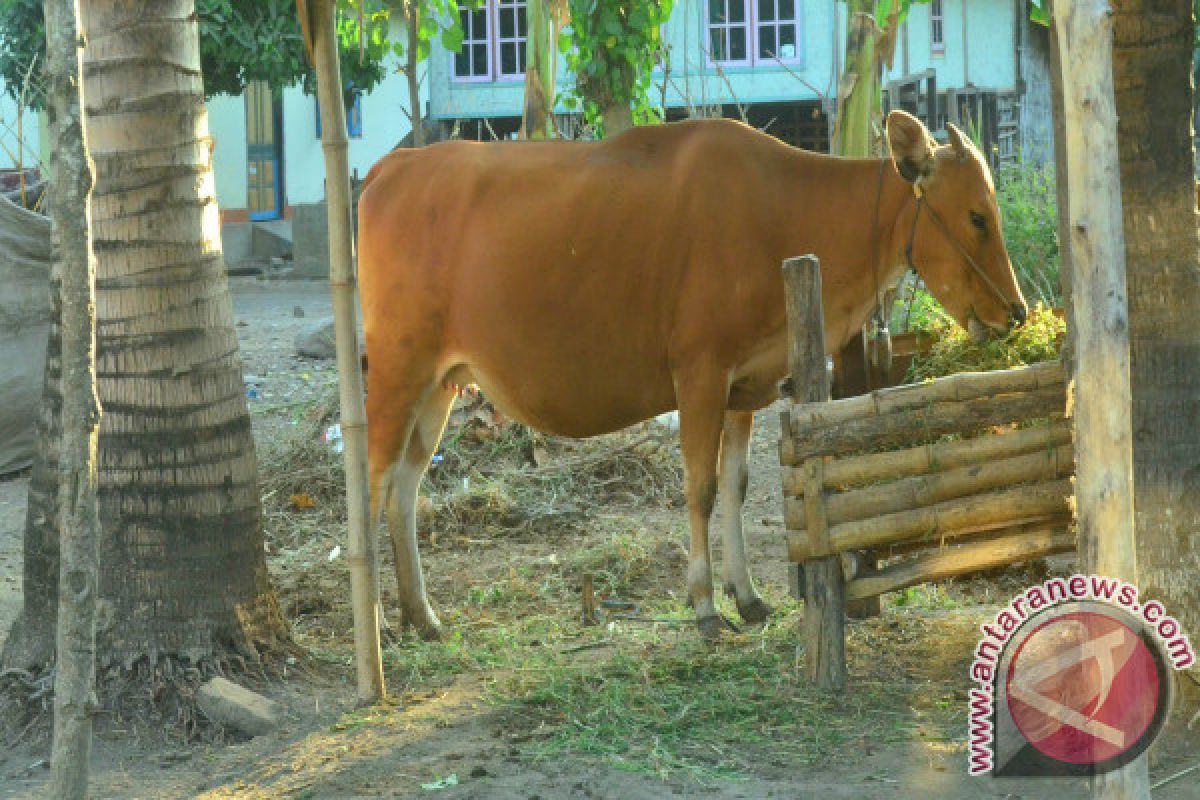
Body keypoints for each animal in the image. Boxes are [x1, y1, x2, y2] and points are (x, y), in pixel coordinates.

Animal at [360, 110, 1027, 638]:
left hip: (441, 383)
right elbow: (700, 488)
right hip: (395, 371)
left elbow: (735, 485)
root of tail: (389, 169)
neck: (780, 209)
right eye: (976, 216)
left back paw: (421, 615)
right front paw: (705, 605)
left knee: (405, 488)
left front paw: (748, 595)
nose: (1016, 312)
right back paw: (377, 625)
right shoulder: (700, 375)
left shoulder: (745, 387)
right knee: (373, 486)